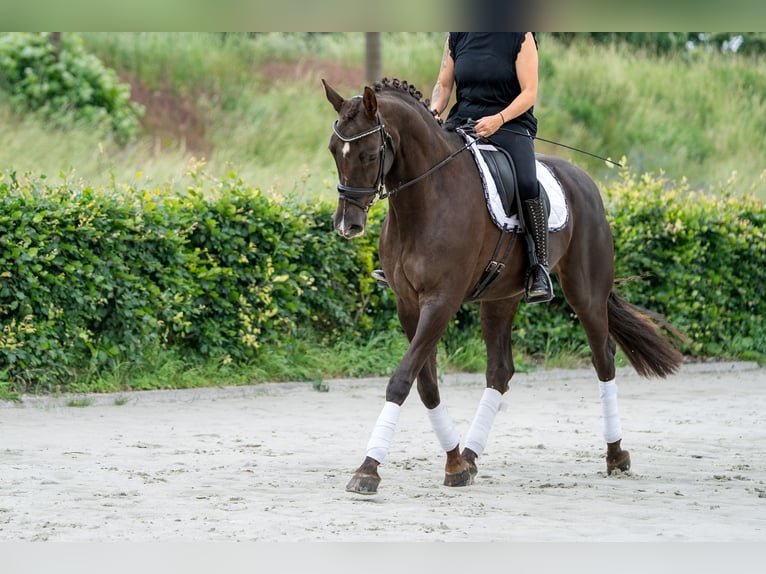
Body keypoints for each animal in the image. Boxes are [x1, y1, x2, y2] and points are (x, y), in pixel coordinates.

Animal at [322, 77, 683, 495]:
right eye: (334, 151)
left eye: (368, 154)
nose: (347, 225)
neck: (425, 199)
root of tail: (583, 180)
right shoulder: (408, 305)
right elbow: (425, 383)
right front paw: (455, 464)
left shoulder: (441, 302)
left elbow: (401, 380)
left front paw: (369, 468)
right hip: (500, 298)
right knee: (500, 371)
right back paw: (471, 456)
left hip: (586, 292)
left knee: (603, 358)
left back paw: (616, 455)